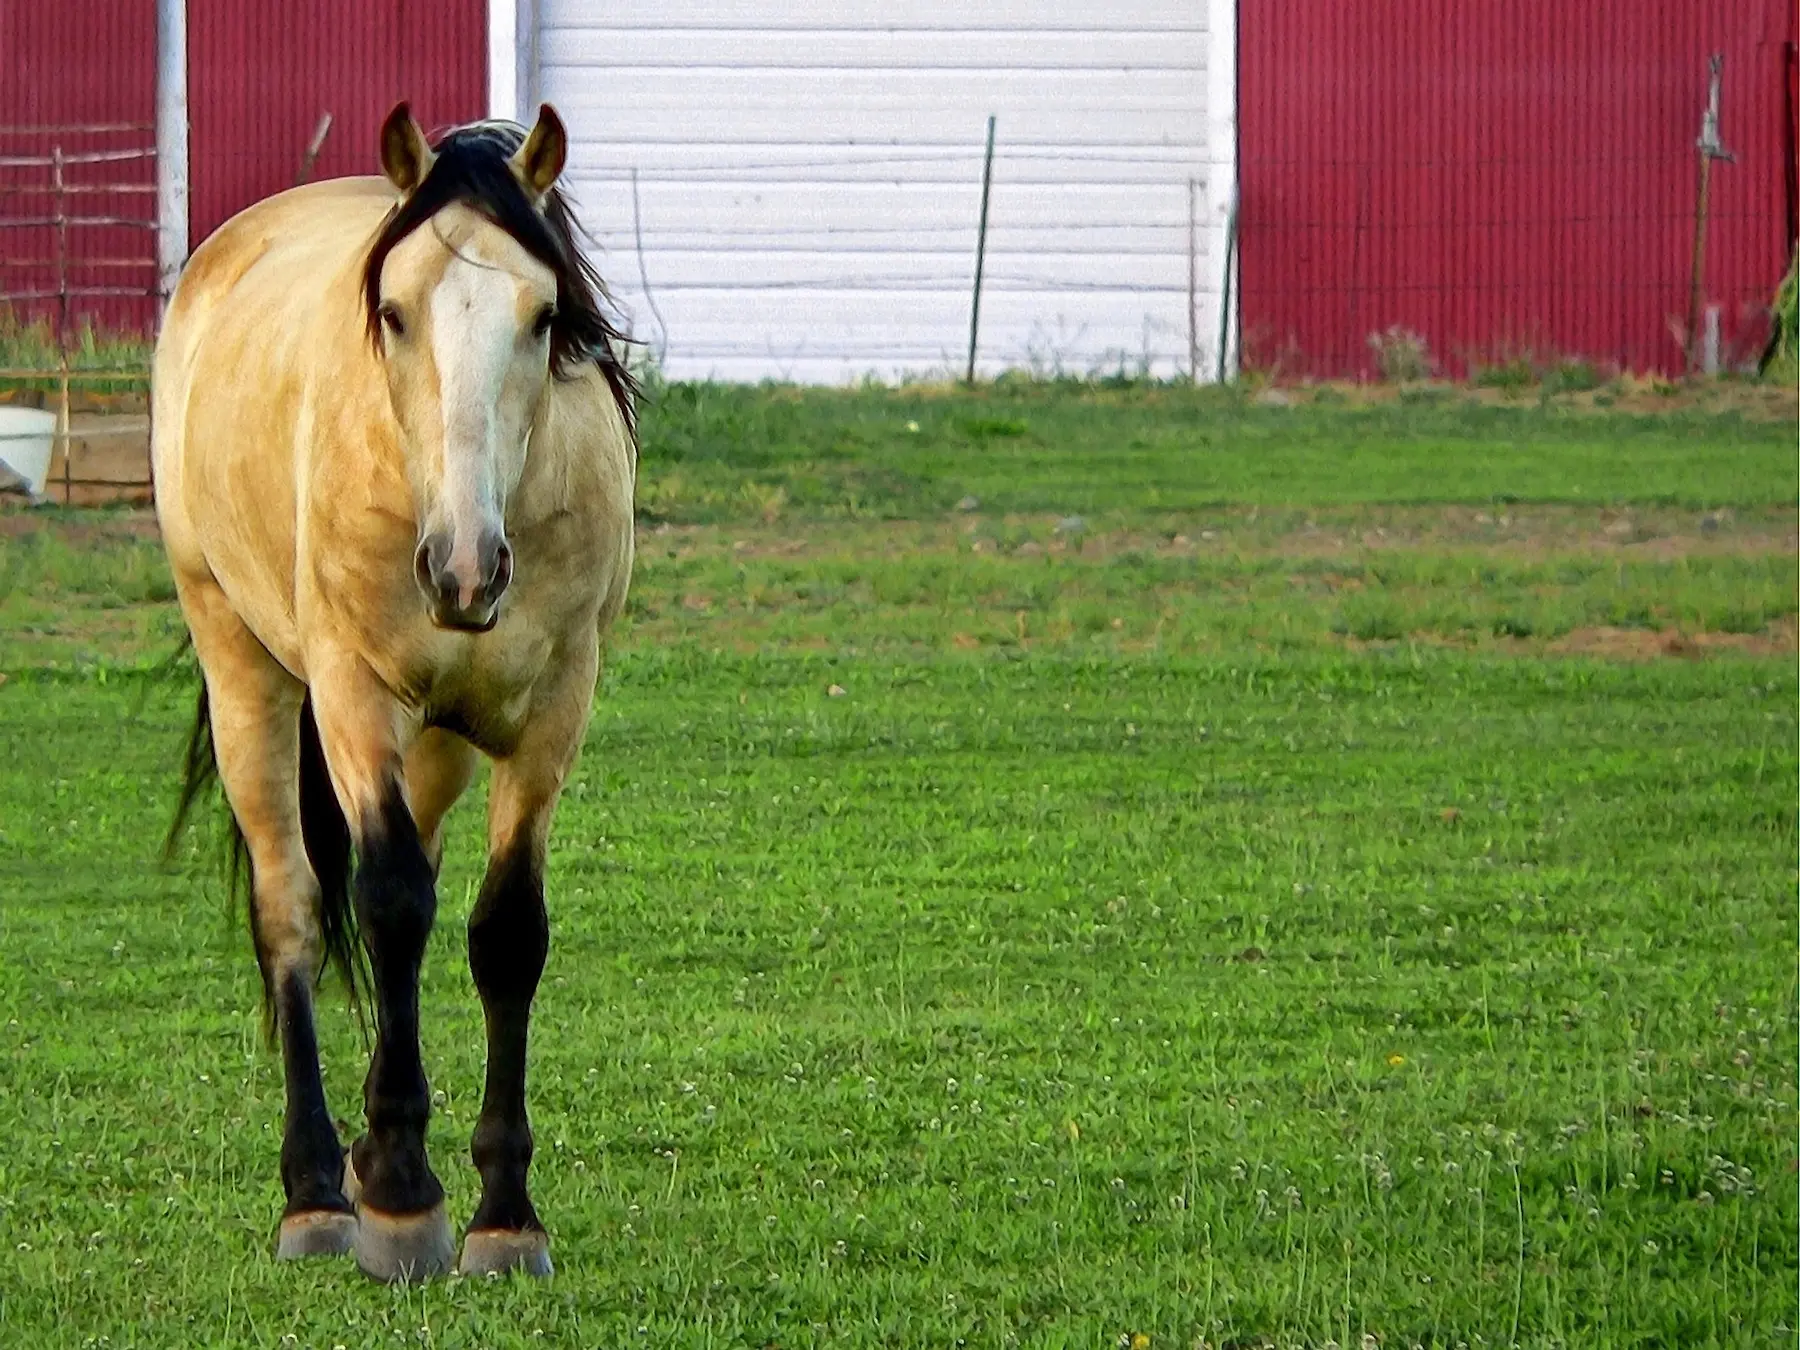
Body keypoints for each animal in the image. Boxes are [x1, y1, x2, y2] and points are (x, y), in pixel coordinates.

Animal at [154, 103, 637, 1281]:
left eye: (544, 315)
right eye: (393, 312)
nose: (465, 570)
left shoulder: (553, 713)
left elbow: (504, 931)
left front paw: (503, 1215)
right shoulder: (354, 698)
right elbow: (388, 903)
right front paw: (410, 1200)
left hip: (442, 742)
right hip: (245, 671)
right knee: (294, 911)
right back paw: (321, 1194)